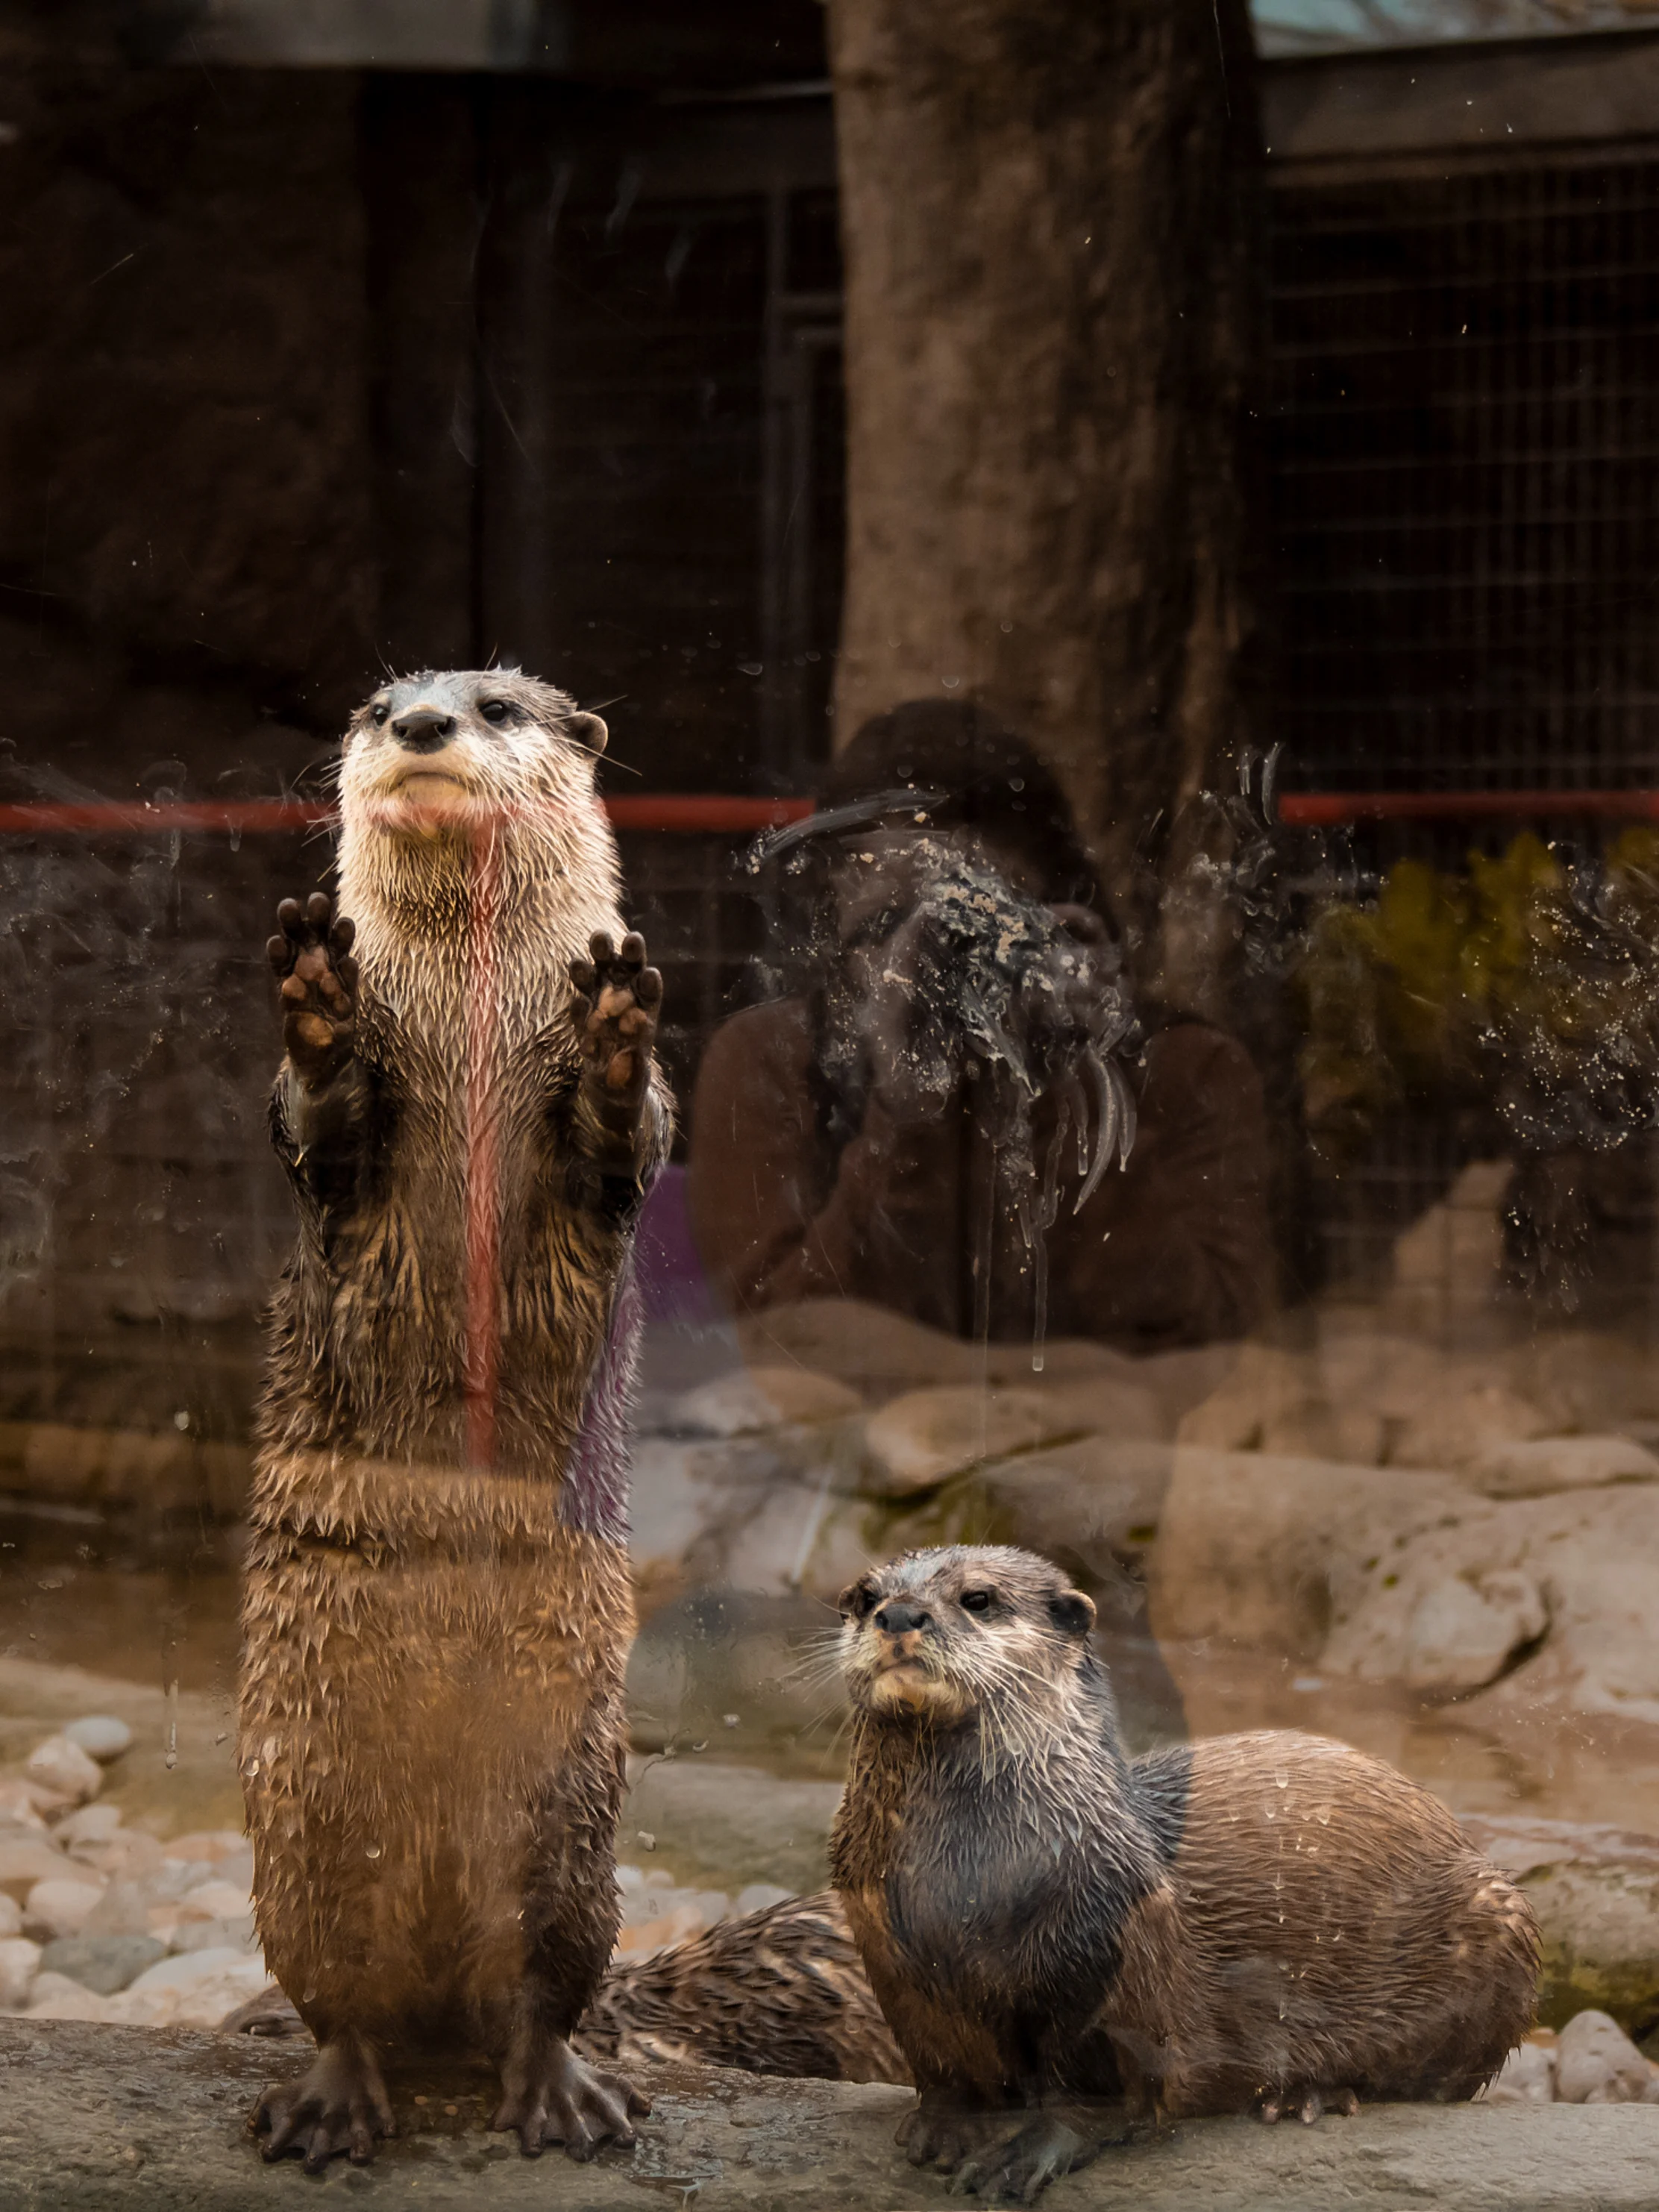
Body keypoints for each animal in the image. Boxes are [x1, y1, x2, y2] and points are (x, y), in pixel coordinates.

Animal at [242, 669, 672, 2172]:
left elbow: (622, 1141)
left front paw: (615, 1029)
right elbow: (323, 1124)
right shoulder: (324, 1146)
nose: (422, 723)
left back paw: (561, 2090)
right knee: (336, 1985)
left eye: (496, 702)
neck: (472, 1033)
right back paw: (333, 2098)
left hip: (572, 1831)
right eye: (381, 704)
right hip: (302, 1816)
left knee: (540, 1983)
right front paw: (318, 996)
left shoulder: (625, 1151)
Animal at [831, 1545, 1539, 2202]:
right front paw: (947, 2124)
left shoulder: (1109, 1948)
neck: (966, 1887)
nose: (900, 1614)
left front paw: (1028, 2151)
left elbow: (1098, 2088)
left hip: (1500, 1916)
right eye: (865, 1596)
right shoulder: (887, 1948)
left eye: (978, 1598)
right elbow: (940, 2061)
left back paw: (1306, 2095)